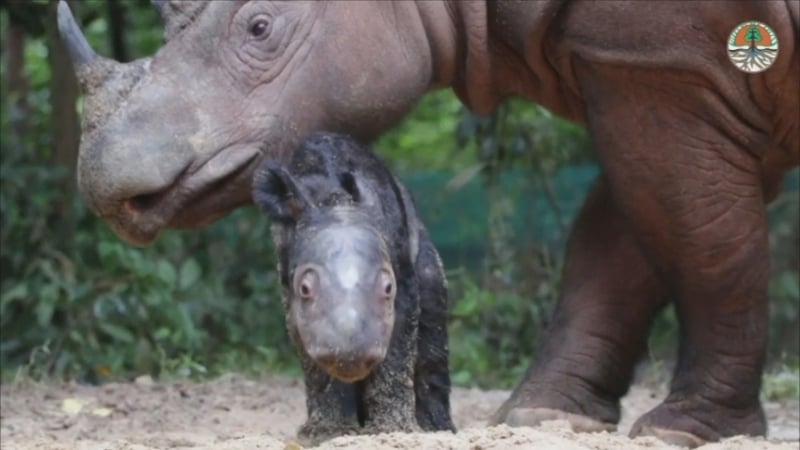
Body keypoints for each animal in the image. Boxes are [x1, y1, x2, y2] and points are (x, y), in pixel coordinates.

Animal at [253, 133, 454, 442]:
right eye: (305, 289)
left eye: (388, 288)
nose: (352, 356)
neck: (334, 201)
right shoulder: (291, 293)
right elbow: (312, 357)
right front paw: (327, 433)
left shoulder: (402, 274)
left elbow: (400, 345)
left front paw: (392, 430)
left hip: (424, 249)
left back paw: (437, 429)